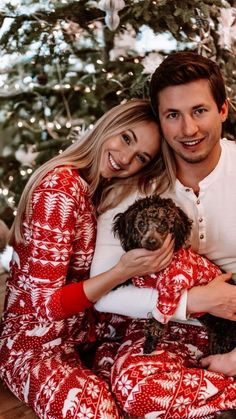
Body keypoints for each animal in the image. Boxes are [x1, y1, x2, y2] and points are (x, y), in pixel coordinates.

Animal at [113, 195, 236, 360]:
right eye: (141, 224)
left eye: (164, 224)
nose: (152, 242)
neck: (159, 270)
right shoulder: (143, 278)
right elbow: (131, 275)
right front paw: (115, 280)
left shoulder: (172, 290)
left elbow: (158, 320)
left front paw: (150, 343)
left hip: (224, 334)